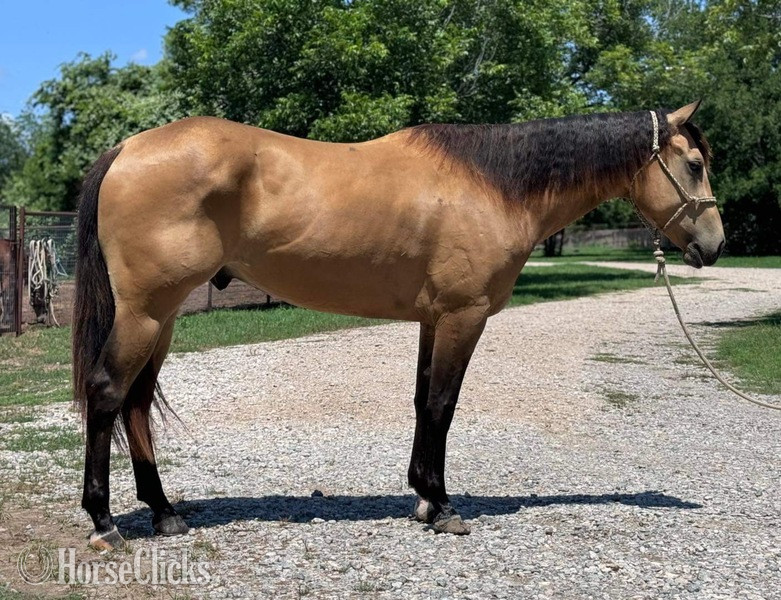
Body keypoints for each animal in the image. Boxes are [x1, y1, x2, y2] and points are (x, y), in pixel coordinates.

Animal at [72, 101, 724, 549]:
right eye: (694, 164)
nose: (716, 246)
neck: (492, 185)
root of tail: (127, 148)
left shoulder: (434, 319)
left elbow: (421, 400)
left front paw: (423, 497)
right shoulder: (463, 315)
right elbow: (442, 406)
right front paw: (444, 507)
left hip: (163, 318)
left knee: (135, 402)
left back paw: (164, 513)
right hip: (146, 312)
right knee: (106, 393)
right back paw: (104, 521)